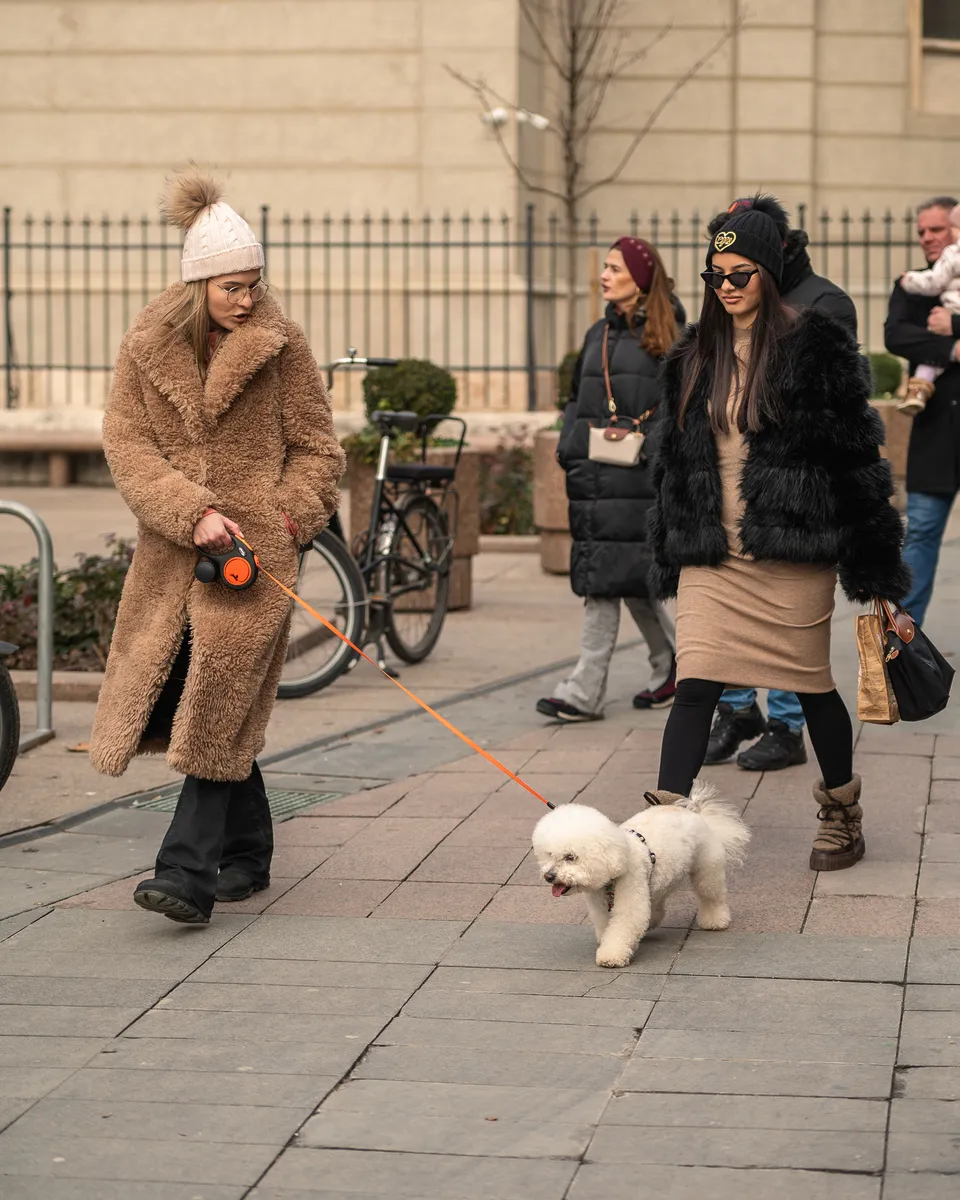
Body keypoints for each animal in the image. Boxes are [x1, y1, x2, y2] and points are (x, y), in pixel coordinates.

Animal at [532, 782, 748, 969]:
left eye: (570, 857)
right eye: (549, 854)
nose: (549, 876)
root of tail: (692, 811)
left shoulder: (630, 894)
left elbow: (622, 927)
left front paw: (611, 955)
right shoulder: (600, 906)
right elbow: (606, 925)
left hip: (706, 869)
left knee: (711, 896)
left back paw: (715, 920)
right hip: (661, 876)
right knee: (658, 900)